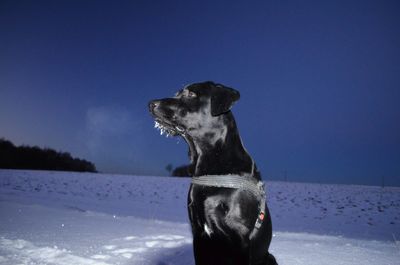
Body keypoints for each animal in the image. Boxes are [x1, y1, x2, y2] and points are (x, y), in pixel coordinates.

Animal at [148, 81, 276, 264]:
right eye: (177, 93)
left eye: (191, 94)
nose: (151, 103)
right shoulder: (198, 235)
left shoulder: (240, 238)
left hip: (269, 257)